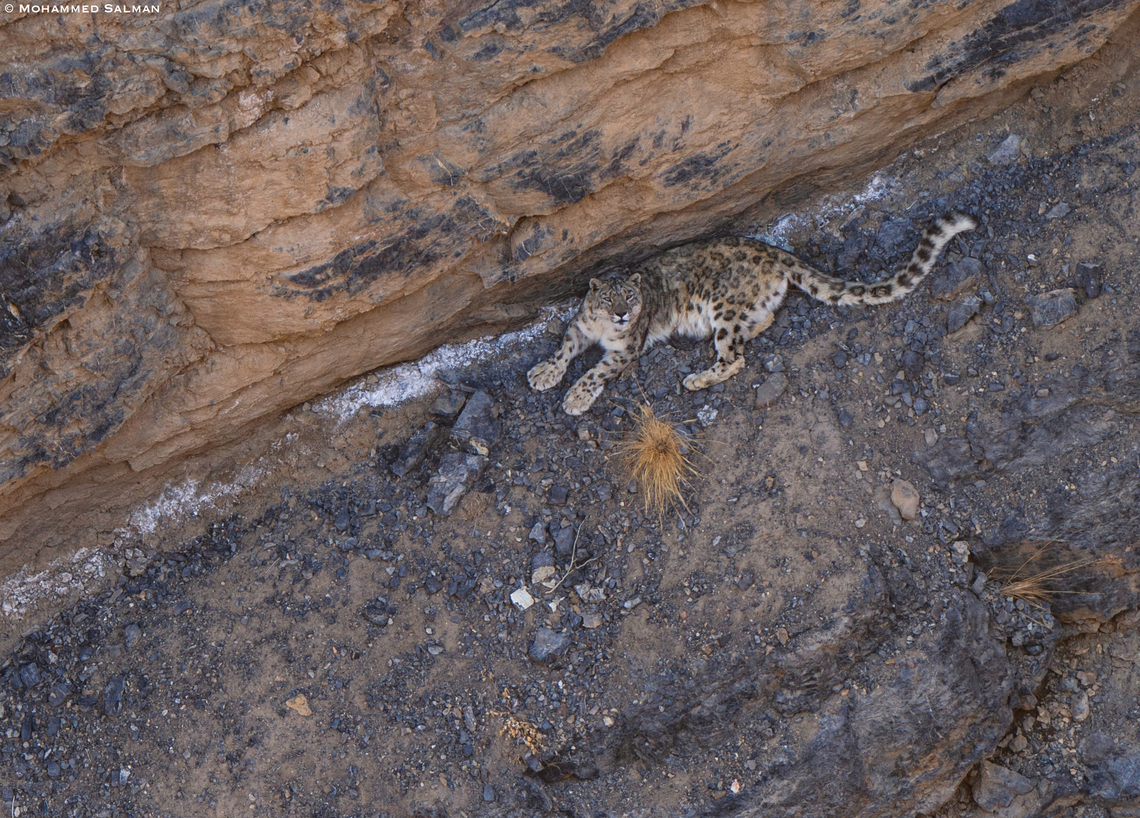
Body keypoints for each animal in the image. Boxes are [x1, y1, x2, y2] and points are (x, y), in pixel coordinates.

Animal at [527, 212, 977, 415]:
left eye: (631, 300)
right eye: (608, 301)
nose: (622, 316)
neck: (604, 329)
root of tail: (773, 251)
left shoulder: (625, 348)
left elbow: (596, 370)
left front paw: (575, 397)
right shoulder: (580, 326)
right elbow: (564, 349)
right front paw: (544, 373)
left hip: (722, 306)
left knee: (734, 357)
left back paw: (695, 378)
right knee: (763, 322)